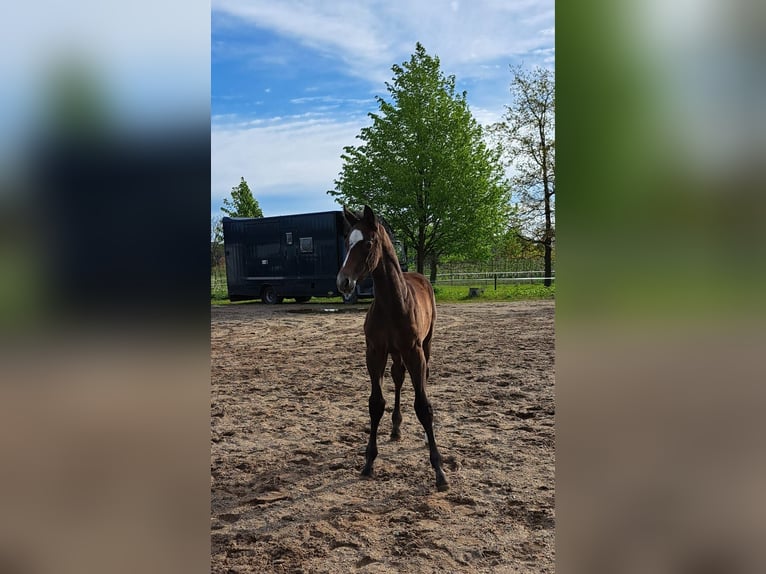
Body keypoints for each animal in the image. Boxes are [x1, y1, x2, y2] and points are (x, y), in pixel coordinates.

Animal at [336, 205, 450, 492]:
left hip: (425, 345)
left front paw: (439, 471)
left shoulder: (414, 352)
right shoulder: (374, 352)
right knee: (398, 378)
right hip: (396, 354)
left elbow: (423, 406)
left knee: (420, 377)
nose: (343, 282)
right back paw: (396, 427)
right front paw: (368, 461)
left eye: (368, 243)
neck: (392, 304)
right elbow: (376, 403)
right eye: (347, 242)